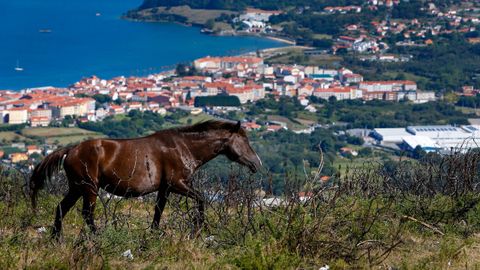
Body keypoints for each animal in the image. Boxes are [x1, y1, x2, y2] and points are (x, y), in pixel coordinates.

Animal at [30, 120, 262, 236]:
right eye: (244, 140)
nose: (257, 163)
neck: (183, 147)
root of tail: (71, 150)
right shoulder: (177, 184)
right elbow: (201, 199)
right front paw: (199, 228)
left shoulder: (165, 188)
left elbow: (158, 211)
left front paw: (154, 233)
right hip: (89, 188)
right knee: (86, 213)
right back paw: (97, 235)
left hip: (77, 187)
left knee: (61, 208)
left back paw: (56, 238)